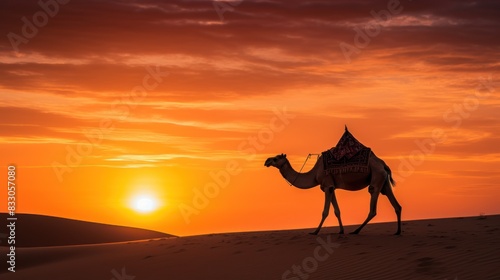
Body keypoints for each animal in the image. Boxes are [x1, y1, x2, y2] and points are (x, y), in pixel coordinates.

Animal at [266, 152, 402, 235]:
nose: (266, 161)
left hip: (376, 179)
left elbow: (325, 212)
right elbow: (337, 210)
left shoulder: (327, 186)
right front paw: (341, 231)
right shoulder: (331, 187)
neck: (314, 173)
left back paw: (356, 231)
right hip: (384, 182)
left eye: (276, 158)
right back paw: (398, 231)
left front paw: (315, 232)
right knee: (397, 205)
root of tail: (383, 164)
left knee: (373, 208)